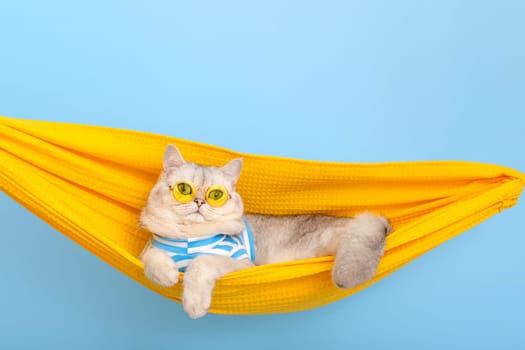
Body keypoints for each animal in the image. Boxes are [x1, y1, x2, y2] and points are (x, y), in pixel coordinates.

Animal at [139, 144, 388, 318]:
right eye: (184, 189)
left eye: (216, 195)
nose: (199, 201)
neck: (190, 237)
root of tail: (382, 222)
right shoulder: (148, 250)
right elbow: (151, 257)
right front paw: (167, 274)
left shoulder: (242, 264)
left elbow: (202, 262)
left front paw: (194, 304)